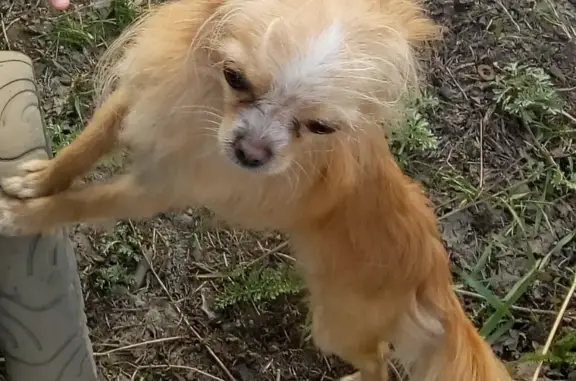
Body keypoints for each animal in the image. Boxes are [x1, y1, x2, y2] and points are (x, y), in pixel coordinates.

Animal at [0, 0, 512, 378]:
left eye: (321, 127)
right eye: (235, 77)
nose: (251, 153)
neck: (204, 107)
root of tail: (434, 271)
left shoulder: (153, 188)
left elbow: (85, 201)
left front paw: (25, 215)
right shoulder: (135, 104)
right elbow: (83, 149)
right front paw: (39, 178)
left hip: (337, 328)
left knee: (380, 361)